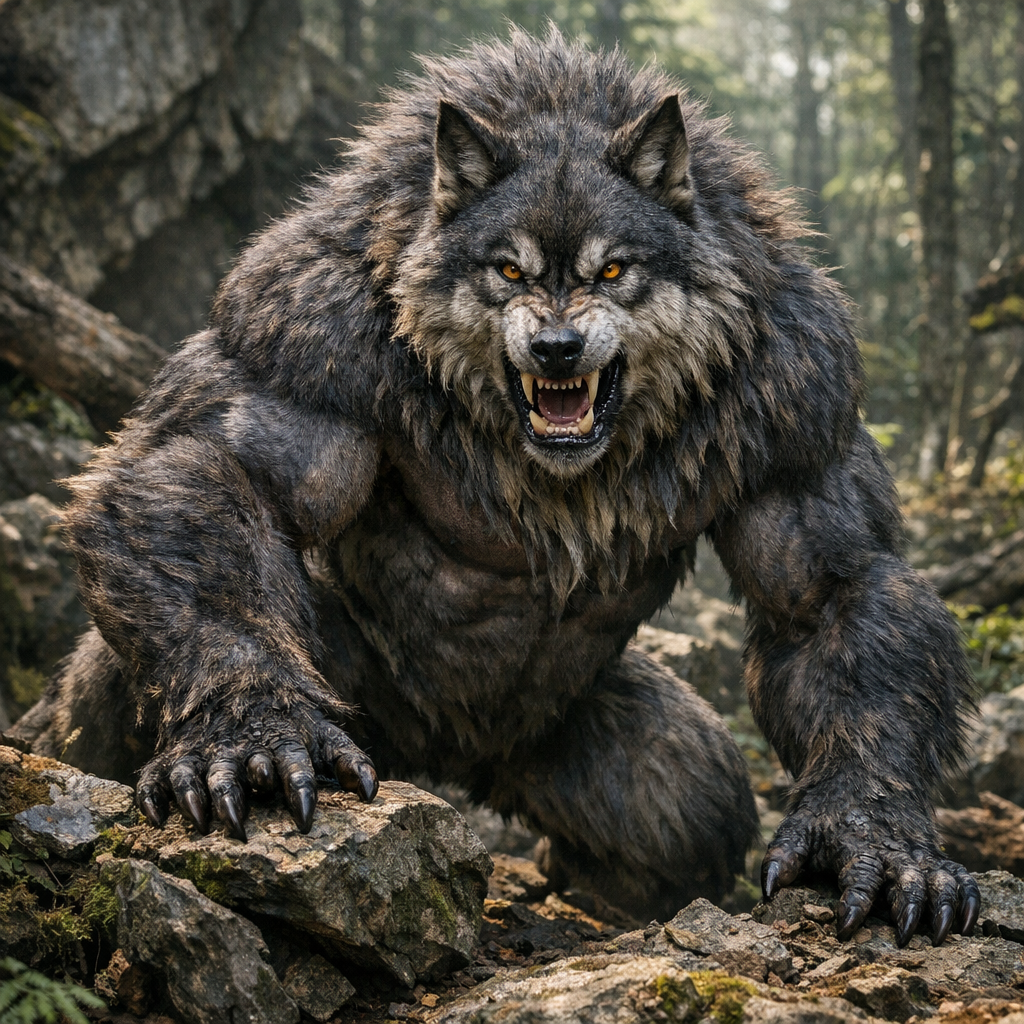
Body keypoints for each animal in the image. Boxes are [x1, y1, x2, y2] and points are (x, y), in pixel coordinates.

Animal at [14, 29, 978, 939]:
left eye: (613, 269)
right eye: (508, 269)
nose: (555, 348)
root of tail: (445, 754)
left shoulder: (800, 384)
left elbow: (832, 587)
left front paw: (870, 832)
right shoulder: (303, 324)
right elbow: (215, 468)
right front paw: (254, 731)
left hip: (601, 753)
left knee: (691, 809)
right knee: (111, 687)